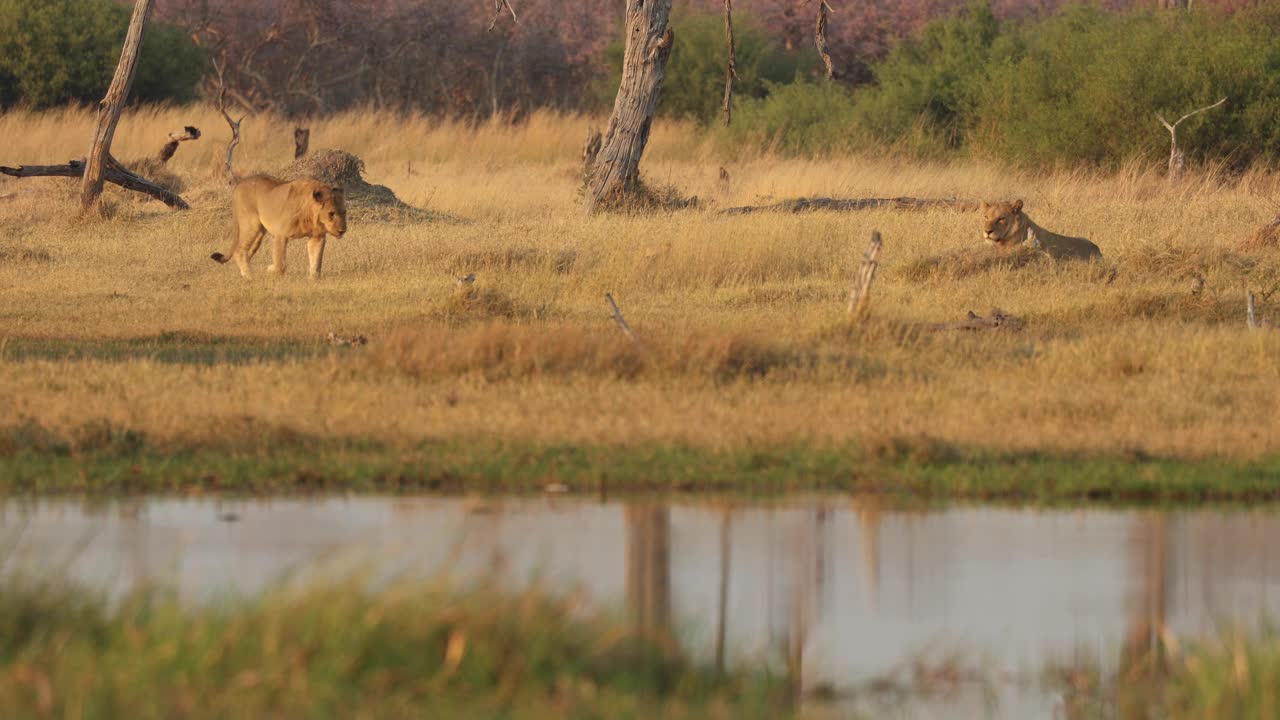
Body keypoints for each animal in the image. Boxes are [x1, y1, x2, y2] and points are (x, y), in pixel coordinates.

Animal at [210, 175, 347, 280]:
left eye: (344, 212)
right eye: (331, 214)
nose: (342, 231)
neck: (310, 215)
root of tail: (239, 185)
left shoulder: (317, 237)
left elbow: (316, 260)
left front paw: (313, 280)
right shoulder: (281, 234)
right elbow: (280, 262)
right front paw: (271, 270)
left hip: (259, 234)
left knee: (245, 252)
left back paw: (244, 273)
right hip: (251, 226)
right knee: (239, 250)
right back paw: (250, 276)